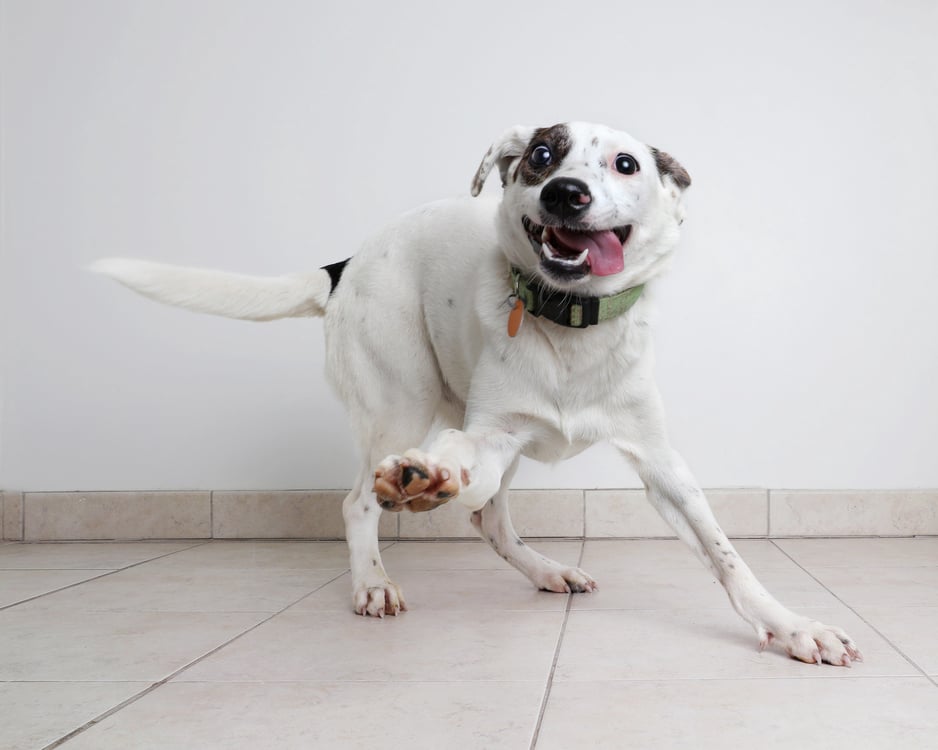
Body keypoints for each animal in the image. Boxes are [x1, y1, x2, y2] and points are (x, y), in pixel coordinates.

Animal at [95, 123, 864, 668]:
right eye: (544, 154)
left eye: (626, 164)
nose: (564, 193)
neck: (570, 323)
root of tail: (347, 262)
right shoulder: (490, 431)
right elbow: (458, 464)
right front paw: (427, 476)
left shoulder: (660, 463)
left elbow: (727, 556)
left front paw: (793, 626)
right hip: (398, 398)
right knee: (363, 500)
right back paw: (376, 572)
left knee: (488, 518)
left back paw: (543, 568)